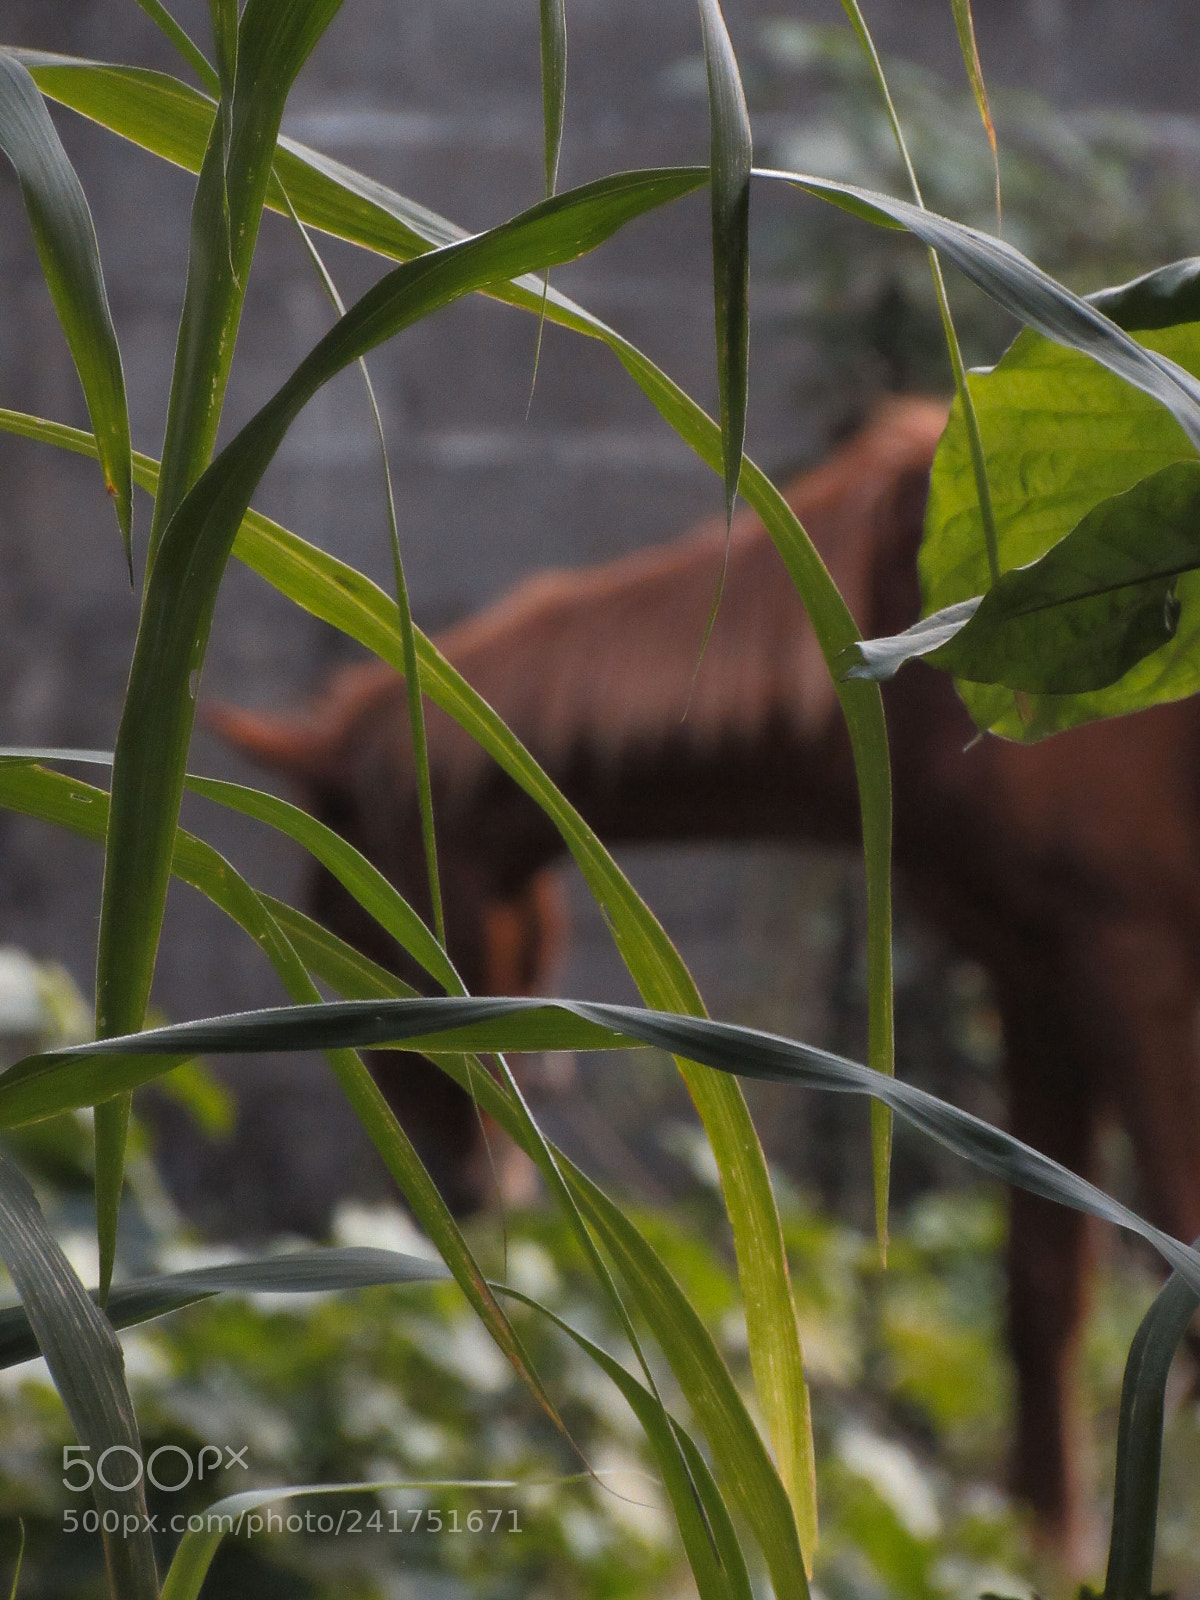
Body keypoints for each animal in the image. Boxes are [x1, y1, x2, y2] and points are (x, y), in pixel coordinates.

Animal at [208, 397, 1200, 1556]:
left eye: (362, 925)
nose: (469, 1191)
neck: (914, 634)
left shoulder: (1137, 971)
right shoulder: (1033, 981)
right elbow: (1041, 1293)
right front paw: (1047, 1548)